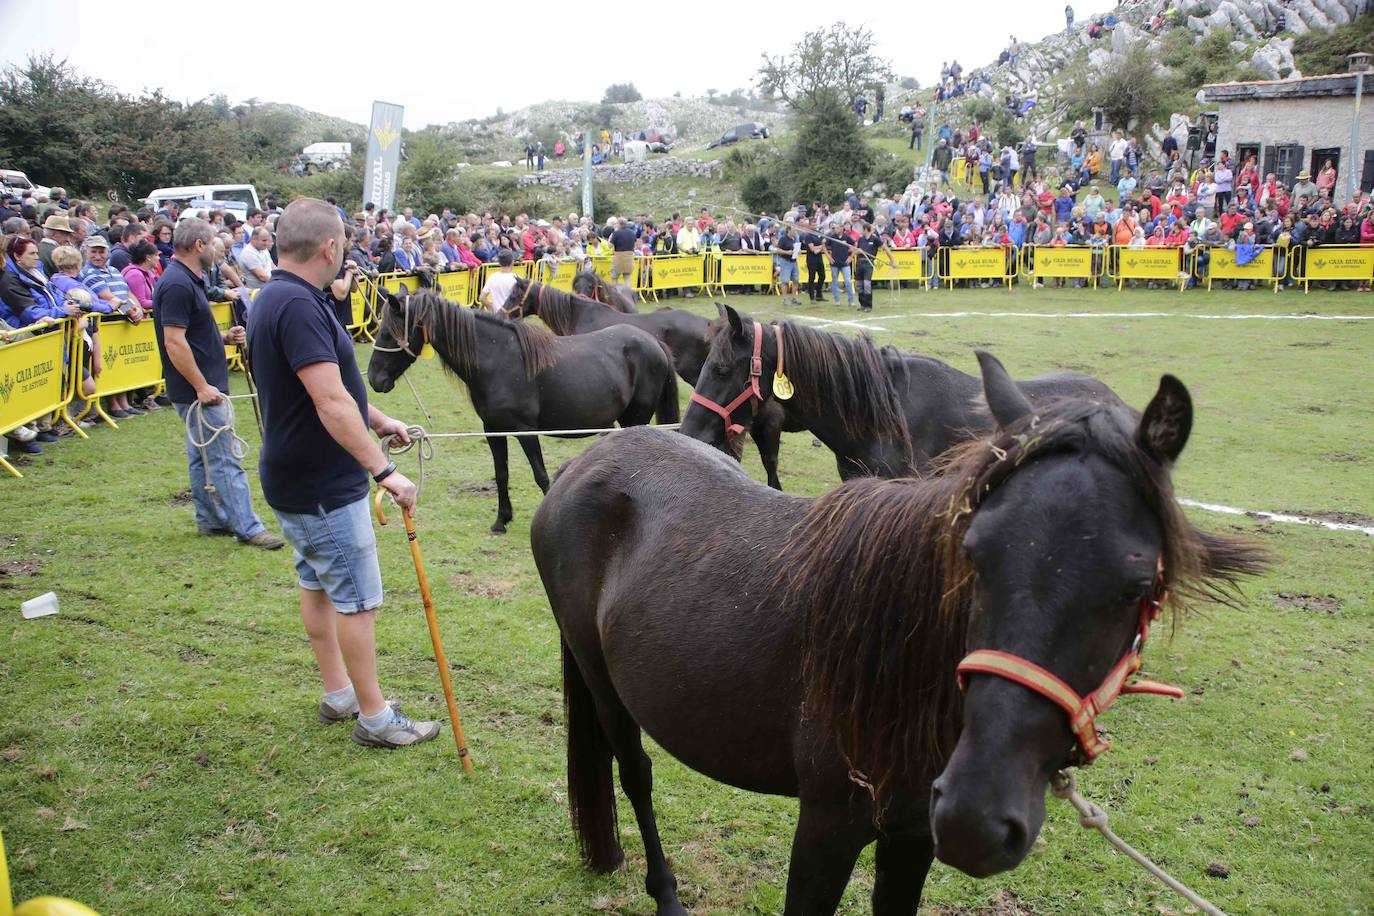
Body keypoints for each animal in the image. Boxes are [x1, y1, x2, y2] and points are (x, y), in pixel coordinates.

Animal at [368, 289, 678, 532]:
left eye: (389, 334)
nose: (373, 379)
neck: (499, 360)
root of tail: (655, 343)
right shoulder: (493, 431)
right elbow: (501, 474)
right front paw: (501, 520)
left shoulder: (526, 431)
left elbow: (541, 474)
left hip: (635, 419)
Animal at [530, 354, 1258, 916]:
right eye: (973, 554)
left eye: (1137, 585)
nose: (974, 820)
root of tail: (587, 461)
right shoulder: (826, 829)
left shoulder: (911, 837)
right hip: (603, 683)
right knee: (636, 774)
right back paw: (666, 892)